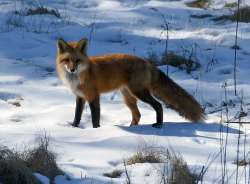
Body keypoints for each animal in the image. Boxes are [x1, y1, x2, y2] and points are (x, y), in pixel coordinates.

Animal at [55, 38, 204, 128]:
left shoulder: (93, 96)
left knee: (158, 105)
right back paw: (133, 127)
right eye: (67, 60)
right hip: (128, 97)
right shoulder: (80, 97)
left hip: (139, 92)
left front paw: (96, 130)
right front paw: (74, 128)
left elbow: (95, 118)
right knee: (137, 115)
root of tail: (147, 62)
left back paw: (158, 124)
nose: (72, 69)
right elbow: (77, 116)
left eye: (77, 60)